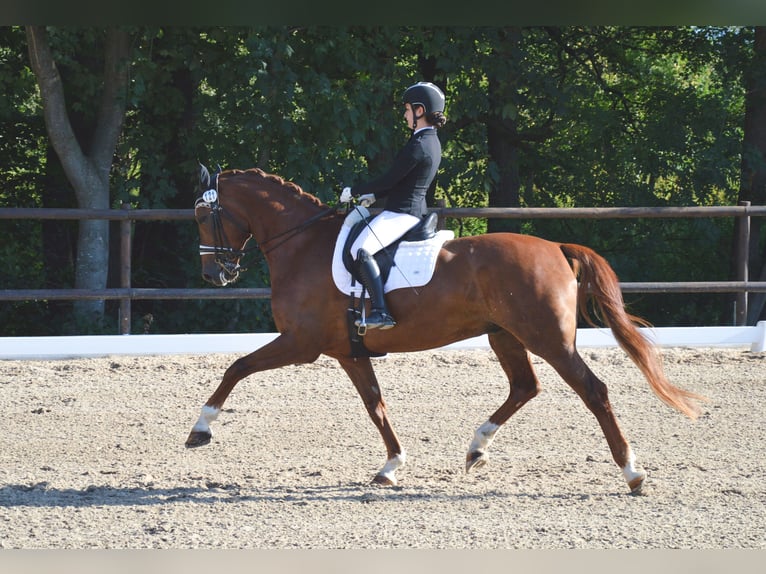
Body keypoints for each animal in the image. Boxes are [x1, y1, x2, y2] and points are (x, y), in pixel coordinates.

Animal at [186, 165, 708, 496]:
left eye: (201, 214)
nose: (214, 275)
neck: (302, 244)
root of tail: (555, 248)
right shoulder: (349, 352)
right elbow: (375, 405)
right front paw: (391, 467)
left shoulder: (302, 343)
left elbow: (236, 367)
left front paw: (200, 430)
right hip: (505, 335)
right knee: (525, 386)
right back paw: (476, 449)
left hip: (548, 339)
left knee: (593, 391)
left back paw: (633, 474)